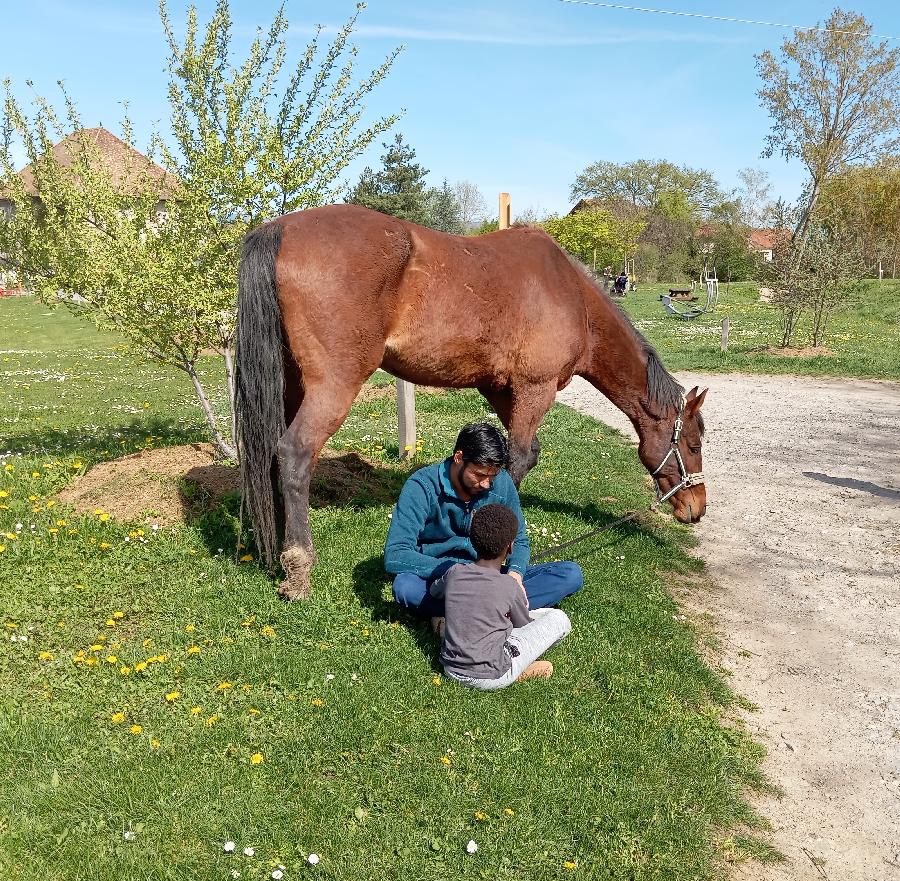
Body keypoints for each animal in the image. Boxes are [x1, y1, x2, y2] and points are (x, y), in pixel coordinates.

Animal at [236, 205, 708, 600]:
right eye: (693, 444)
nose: (696, 508)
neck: (572, 295)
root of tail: (279, 228)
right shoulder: (534, 388)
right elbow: (520, 457)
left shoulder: (500, 389)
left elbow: (515, 453)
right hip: (333, 387)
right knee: (294, 454)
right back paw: (299, 566)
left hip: (289, 384)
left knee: (271, 454)